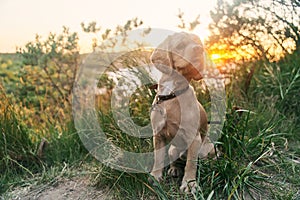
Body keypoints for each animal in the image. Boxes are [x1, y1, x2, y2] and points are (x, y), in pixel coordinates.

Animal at [149, 32, 214, 193]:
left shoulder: (194, 138)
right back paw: (174, 169)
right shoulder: (158, 135)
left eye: (200, 44)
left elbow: (191, 163)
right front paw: (155, 176)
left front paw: (190, 184)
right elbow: (158, 158)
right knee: (176, 160)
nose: (199, 49)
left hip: (207, 148)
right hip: (173, 150)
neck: (172, 94)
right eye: (180, 45)